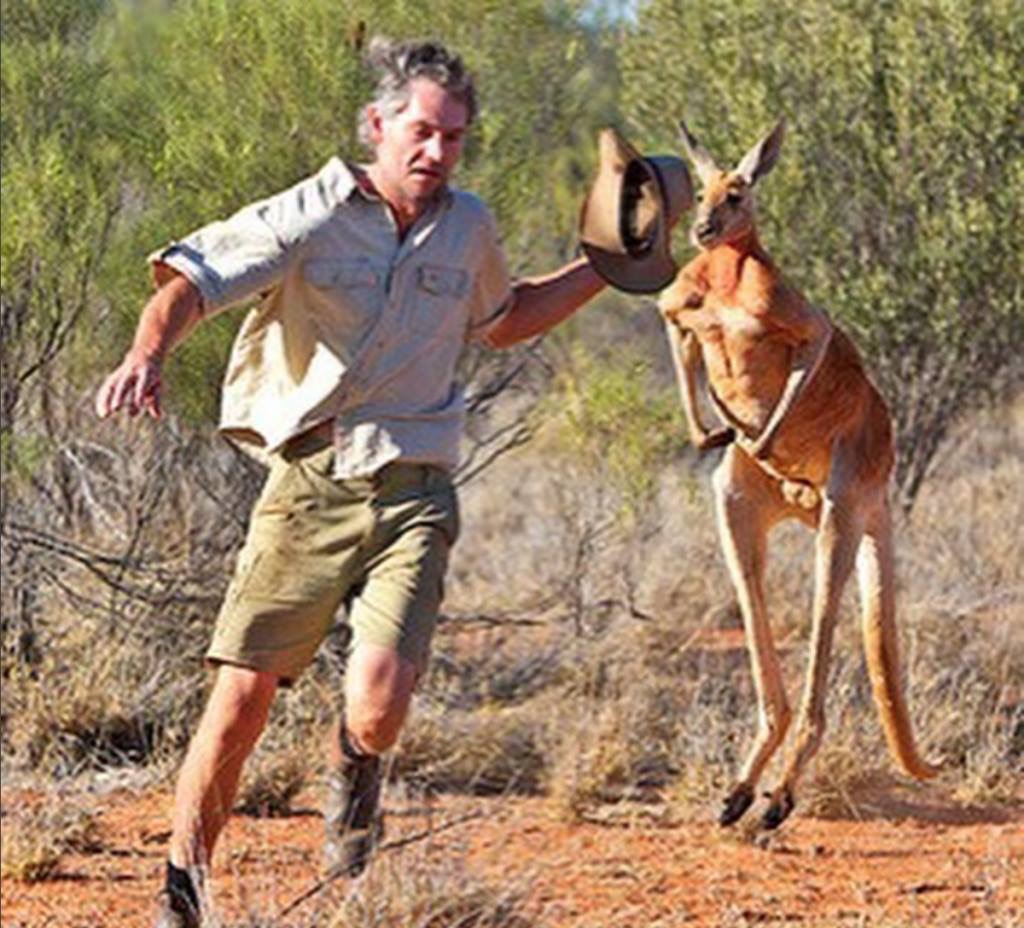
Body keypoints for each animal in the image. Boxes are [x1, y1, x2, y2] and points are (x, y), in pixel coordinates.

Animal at [659, 119, 940, 830]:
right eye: (698, 192)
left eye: (736, 195)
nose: (701, 228)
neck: (728, 277)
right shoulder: (677, 312)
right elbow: (683, 352)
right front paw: (713, 432)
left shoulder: (806, 323)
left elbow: (810, 356)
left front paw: (761, 434)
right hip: (734, 500)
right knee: (756, 609)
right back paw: (738, 794)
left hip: (845, 499)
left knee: (821, 615)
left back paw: (778, 800)